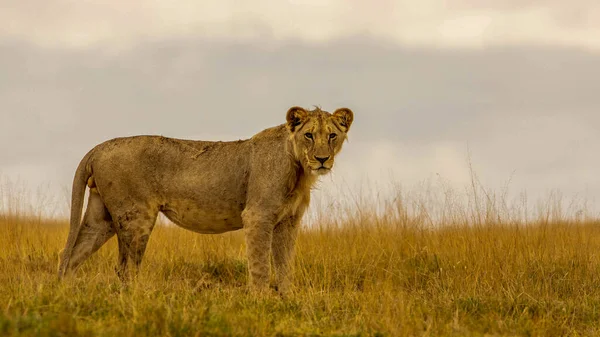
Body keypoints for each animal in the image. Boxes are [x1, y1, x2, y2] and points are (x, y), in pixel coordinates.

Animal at [56, 105, 354, 292]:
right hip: (136, 216)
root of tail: (99, 147)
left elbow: (285, 265)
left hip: (102, 217)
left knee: (72, 256)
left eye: (332, 135)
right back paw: (139, 298)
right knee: (126, 268)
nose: (322, 159)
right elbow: (260, 265)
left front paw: (287, 299)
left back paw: (67, 296)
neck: (299, 169)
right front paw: (260, 301)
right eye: (308, 135)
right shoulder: (257, 216)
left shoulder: (289, 221)